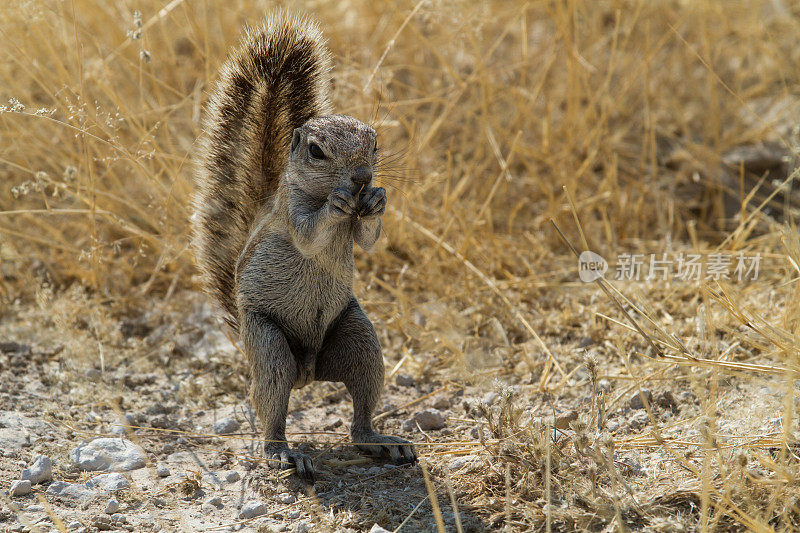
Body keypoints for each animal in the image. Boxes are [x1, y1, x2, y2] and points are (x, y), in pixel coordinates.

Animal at [193, 12, 416, 480]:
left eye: (375, 144)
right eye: (315, 151)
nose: (362, 178)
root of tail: (309, 372)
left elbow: (367, 240)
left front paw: (377, 202)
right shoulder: (292, 213)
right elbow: (310, 236)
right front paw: (336, 206)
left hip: (360, 341)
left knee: (360, 416)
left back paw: (381, 441)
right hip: (269, 345)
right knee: (273, 409)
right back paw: (283, 453)